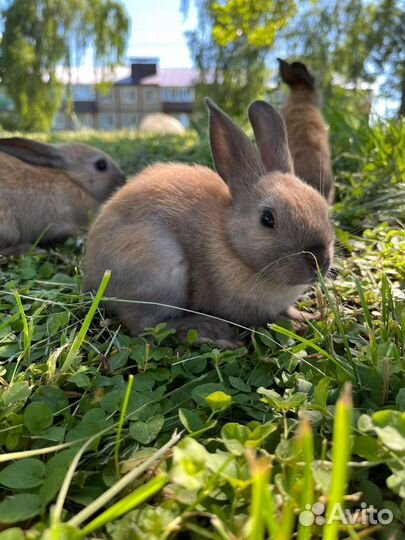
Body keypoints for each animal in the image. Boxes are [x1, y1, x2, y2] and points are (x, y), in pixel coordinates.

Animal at [83, 98, 332, 348]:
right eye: (267, 219)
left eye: (322, 206)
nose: (318, 260)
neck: (231, 242)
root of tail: (93, 273)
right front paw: (294, 323)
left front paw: (304, 316)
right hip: (161, 268)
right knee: (146, 326)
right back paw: (211, 332)